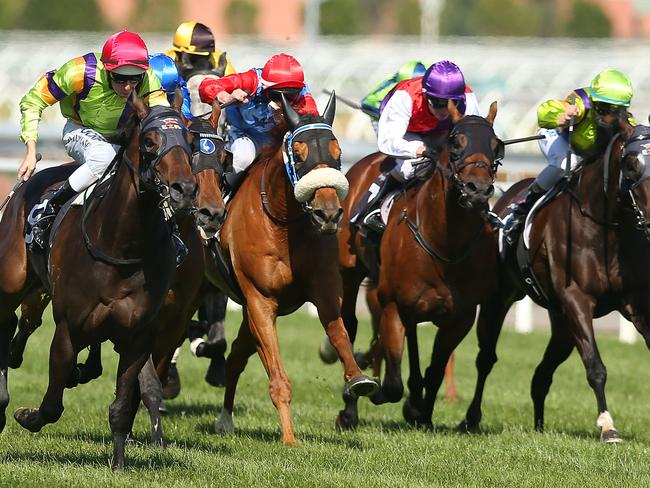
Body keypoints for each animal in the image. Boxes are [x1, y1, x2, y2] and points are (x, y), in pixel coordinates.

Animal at [0, 91, 197, 468]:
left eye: (191, 142)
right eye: (150, 141)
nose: (185, 189)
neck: (120, 243)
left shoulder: (138, 336)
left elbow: (122, 406)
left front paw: (118, 464)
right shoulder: (68, 329)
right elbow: (52, 405)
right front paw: (26, 415)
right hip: (13, 281)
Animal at [204, 92, 380, 446]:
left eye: (338, 153)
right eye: (298, 155)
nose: (328, 214)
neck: (283, 226)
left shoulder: (322, 287)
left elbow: (339, 332)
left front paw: (357, 378)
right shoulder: (260, 301)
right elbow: (277, 374)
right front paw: (289, 437)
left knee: (235, 358)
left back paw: (225, 419)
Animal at [334, 101, 502, 428]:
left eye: (496, 146)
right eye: (456, 143)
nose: (477, 189)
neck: (444, 244)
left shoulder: (460, 317)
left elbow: (435, 371)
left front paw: (421, 412)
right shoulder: (391, 304)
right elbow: (391, 384)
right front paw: (378, 394)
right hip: (349, 272)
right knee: (349, 325)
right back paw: (350, 408)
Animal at [458, 115, 648, 442]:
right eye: (632, 163)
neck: (606, 227)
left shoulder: (634, 304)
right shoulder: (577, 300)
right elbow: (595, 366)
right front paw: (607, 425)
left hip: (562, 325)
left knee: (541, 374)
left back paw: (539, 425)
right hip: (501, 300)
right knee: (486, 359)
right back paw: (471, 418)